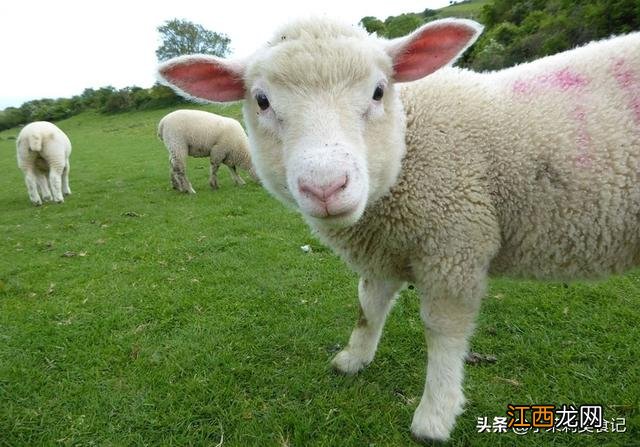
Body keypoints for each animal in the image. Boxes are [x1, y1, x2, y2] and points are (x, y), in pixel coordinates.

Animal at [159, 16, 640, 440]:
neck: (410, 149)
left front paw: (435, 415)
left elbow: (442, 332)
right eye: (261, 100)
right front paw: (353, 359)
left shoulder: (455, 244)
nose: (325, 186)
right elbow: (367, 306)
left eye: (378, 91)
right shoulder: (383, 250)